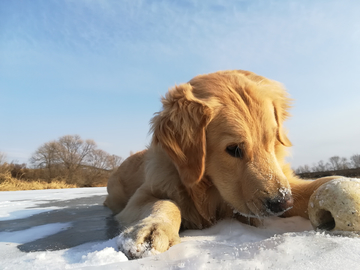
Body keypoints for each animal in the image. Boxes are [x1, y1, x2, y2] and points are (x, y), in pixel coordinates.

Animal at [104, 69, 338, 260]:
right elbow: (165, 203)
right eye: (234, 149)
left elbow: (313, 187)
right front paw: (152, 230)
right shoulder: (144, 194)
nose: (283, 203)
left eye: (272, 141)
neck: (209, 193)